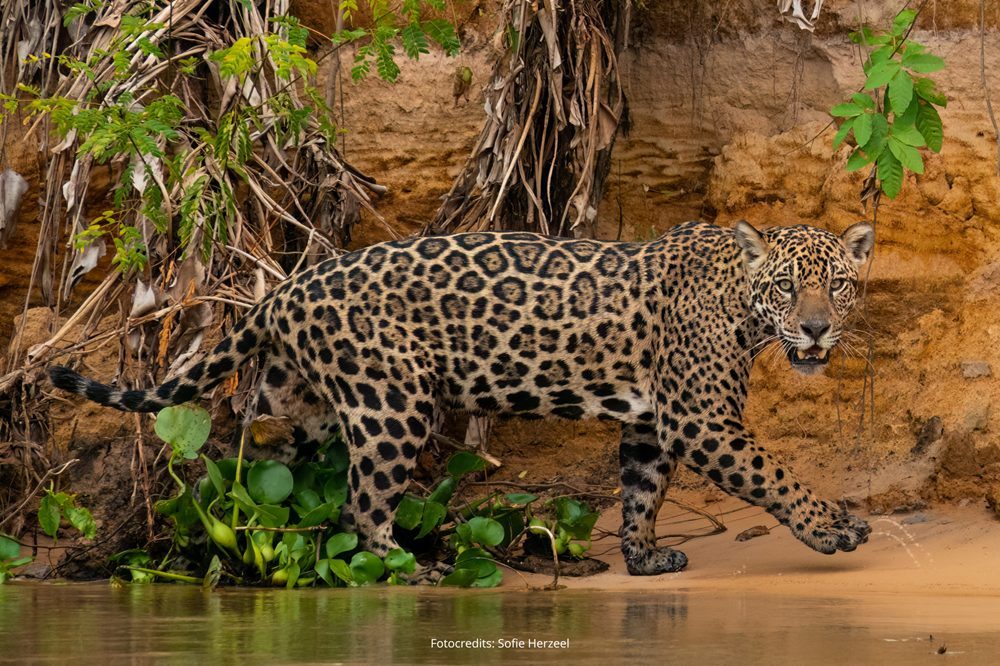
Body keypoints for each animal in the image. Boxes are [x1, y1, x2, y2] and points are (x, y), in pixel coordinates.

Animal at [49, 219, 874, 579]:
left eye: (836, 284)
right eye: (787, 287)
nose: (816, 328)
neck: (741, 303)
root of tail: (287, 288)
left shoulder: (652, 422)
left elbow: (642, 490)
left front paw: (641, 556)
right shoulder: (701, 420)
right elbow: (775, 475)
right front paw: (831, 528)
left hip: (309, 405)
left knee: (255, 462)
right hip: (391, 404)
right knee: (361, 504)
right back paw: (401, 566)